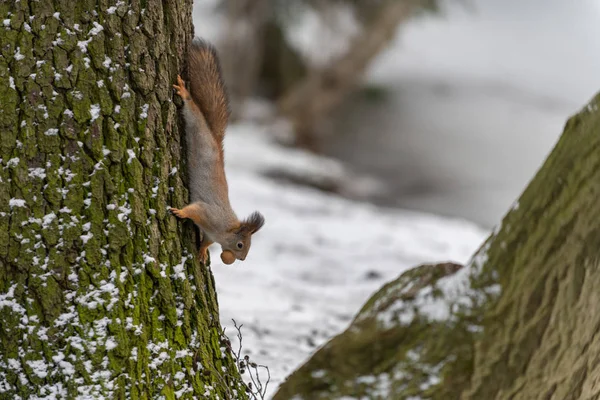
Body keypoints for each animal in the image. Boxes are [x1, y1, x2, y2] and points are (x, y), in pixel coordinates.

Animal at [169, 39, 262, 266]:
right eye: (240, 245)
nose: (241, 259)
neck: (224, 229)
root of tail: (215, 140)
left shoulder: (211, 233)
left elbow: (206, 241)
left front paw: (202, 251)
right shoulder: (209, 214)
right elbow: (193, 210)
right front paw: (180, 212)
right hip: (197, 128)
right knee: (193, 111)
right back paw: (185, 94)